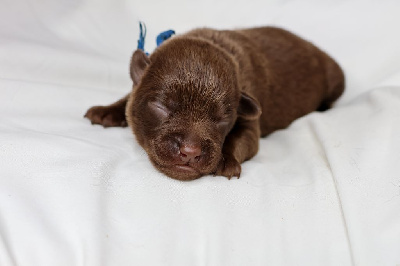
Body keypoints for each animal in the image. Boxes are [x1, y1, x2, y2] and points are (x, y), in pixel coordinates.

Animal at [84, 26, 344, 181]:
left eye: (222, 120)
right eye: (161, 107)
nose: (190, 151)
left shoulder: (250, 121)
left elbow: (241, 139)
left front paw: (226, 160)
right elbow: (129, 96)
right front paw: (106, 111)